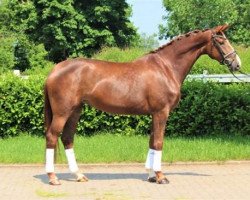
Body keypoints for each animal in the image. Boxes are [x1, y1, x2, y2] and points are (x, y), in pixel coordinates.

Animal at [44, 25, 240, 186]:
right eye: (221, 41)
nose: (237, 63)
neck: (165, 67)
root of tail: (55, 69)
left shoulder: (154, 114)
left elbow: (152, 142)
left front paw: (151, 176)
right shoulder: (161, 112)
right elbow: (159, 142)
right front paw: (161, 176)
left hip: (75, 111)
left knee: (67, 139)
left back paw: (79, 175)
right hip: (62, 112)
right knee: (52, 137)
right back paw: (53, 178)